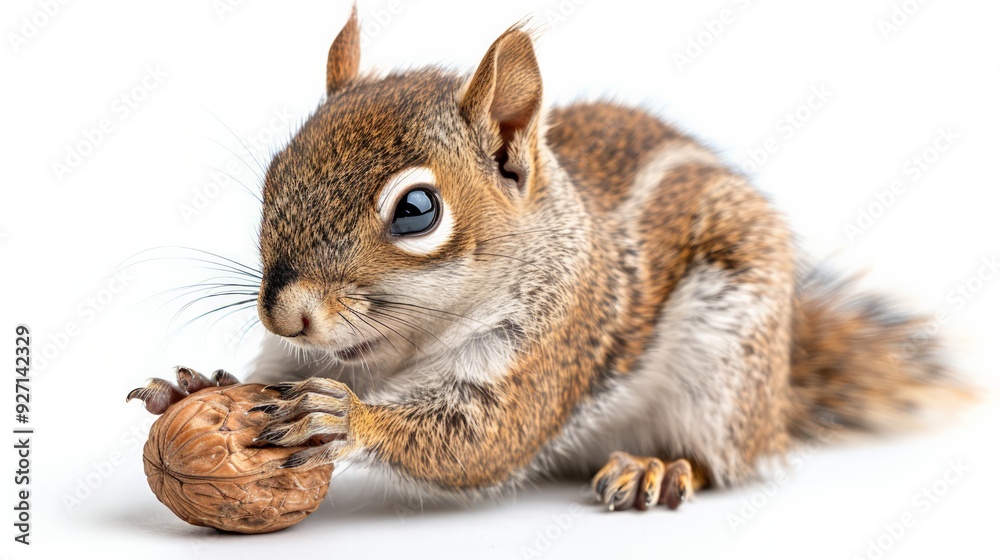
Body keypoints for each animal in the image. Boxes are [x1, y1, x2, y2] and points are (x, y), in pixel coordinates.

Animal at [153, 8, 968, 511]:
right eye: (275, 174)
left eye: (417, 211)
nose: (284, 313)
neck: (396, 347)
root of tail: (777, 397)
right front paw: (197, 384)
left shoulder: (552, 347)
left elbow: (479, 439)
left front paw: (343, 415)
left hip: (729, 366)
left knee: (724, 458)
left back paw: (659, 465)